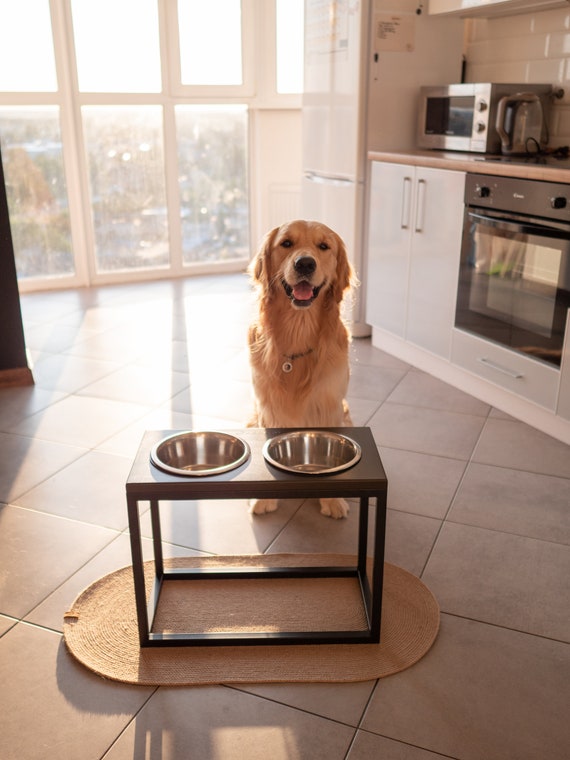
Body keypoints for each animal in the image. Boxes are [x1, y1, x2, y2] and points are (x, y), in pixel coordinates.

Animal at [246, 217, 352, 520]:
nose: (305, 263)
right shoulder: (268, 408)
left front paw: (333, 500)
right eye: (286, 243)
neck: (297, 333)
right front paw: (263, 498)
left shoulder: (329, 404)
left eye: (324, 246)